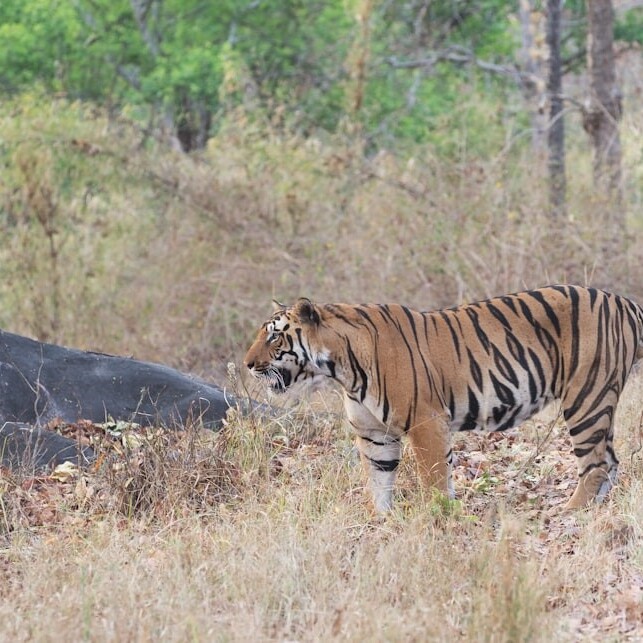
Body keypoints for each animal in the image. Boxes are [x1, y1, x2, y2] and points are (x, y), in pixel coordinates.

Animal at [244, 285, 643, 512]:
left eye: (274, 336)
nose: (247, 364)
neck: (342, 369)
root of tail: (623, 301)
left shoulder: (426, 422)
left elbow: (434, 478)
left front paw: (441, 518)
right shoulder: (375, 434)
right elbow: (379, 480)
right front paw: (380, 520)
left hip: (586, 397)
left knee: (595, 464)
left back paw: (571, 512)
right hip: (598, 401)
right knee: (611, 461)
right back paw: (597, 511)